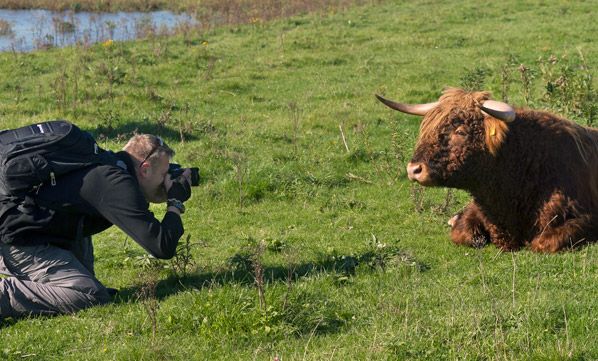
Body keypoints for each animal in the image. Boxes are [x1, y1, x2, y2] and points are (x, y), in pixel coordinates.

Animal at [380, 87, 598, 252]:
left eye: (460, 131)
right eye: (427, 129)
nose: (414, 169)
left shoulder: (583, 218)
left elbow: (543, 243)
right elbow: (464, 234)